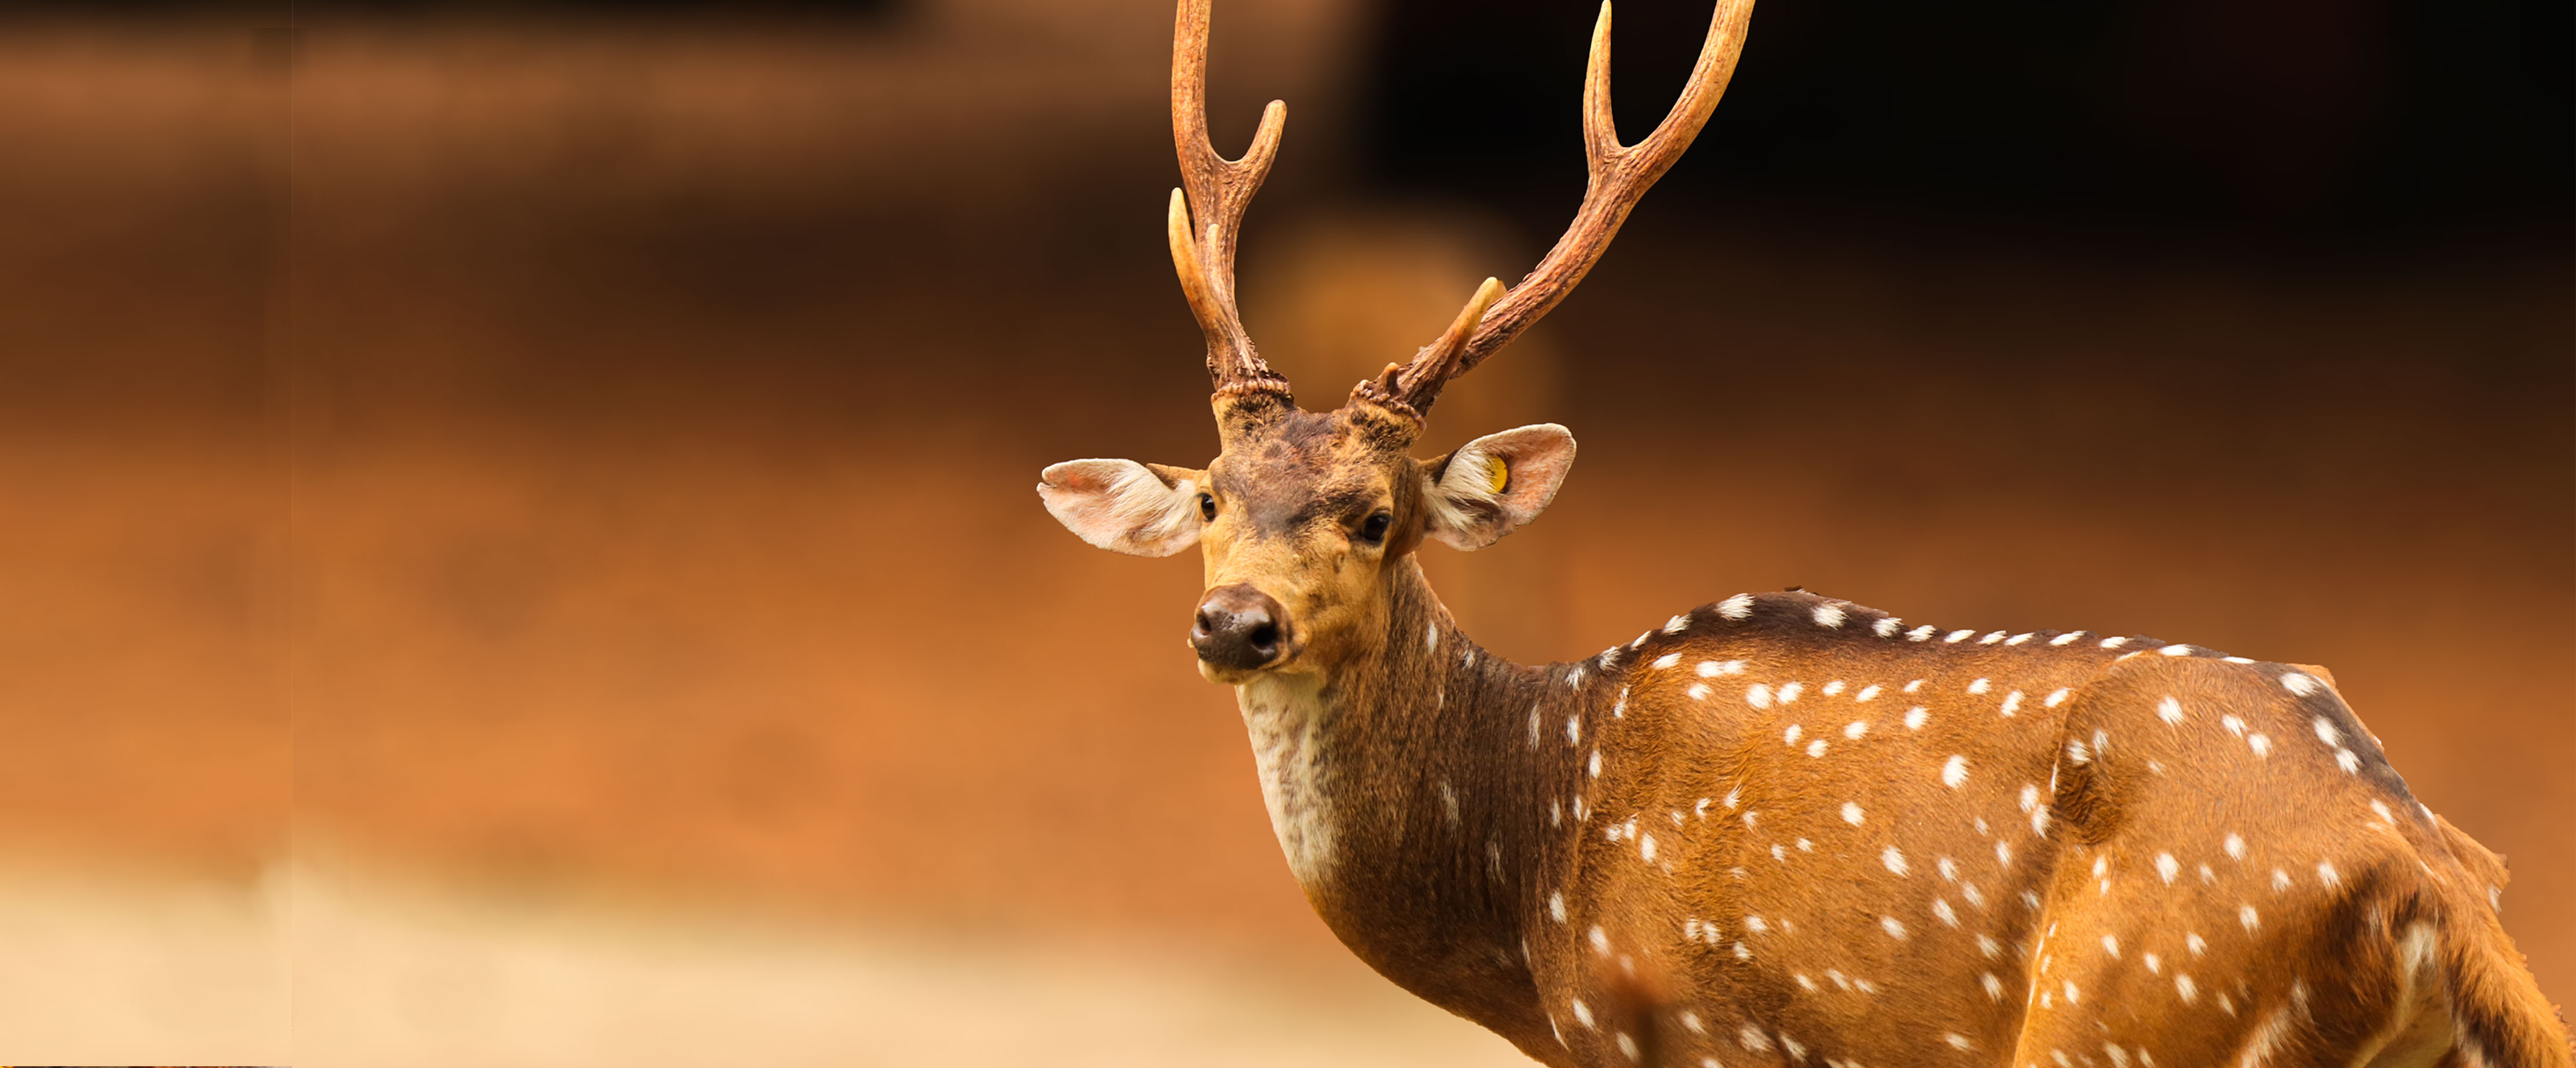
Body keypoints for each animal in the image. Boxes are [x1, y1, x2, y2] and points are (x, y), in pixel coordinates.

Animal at [1030, 2, 2576, 1068]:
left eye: (1374, 517)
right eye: (1211, 497)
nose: (1234, 623)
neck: (1529, 891)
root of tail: (2423, 871)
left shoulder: (1696, 1033)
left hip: (2138, 1005)